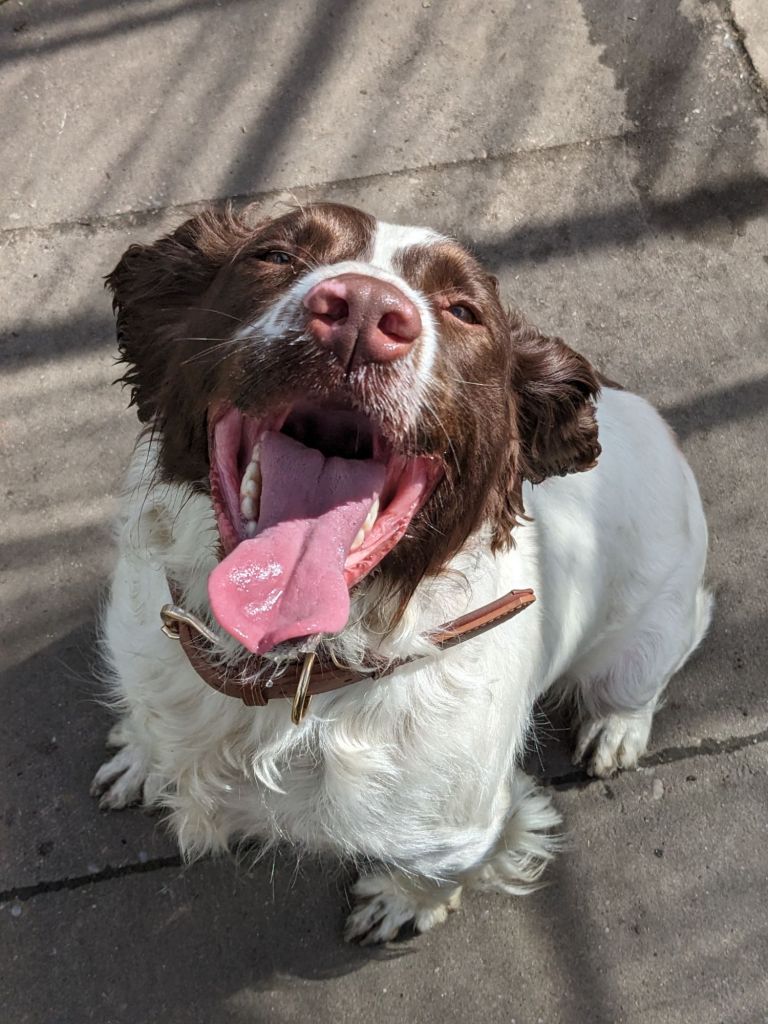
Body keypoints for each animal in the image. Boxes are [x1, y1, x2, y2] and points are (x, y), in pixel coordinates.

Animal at [91, 202, 711, 943]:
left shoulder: (459, 830)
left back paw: (616, 727)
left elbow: (438, 874)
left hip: (651, 633)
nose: (362, 312)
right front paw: (141, 755)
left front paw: (402, 902)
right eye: (275, 255)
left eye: (465, 310)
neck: (288, 672)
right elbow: (150, 727)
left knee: (644, 674)